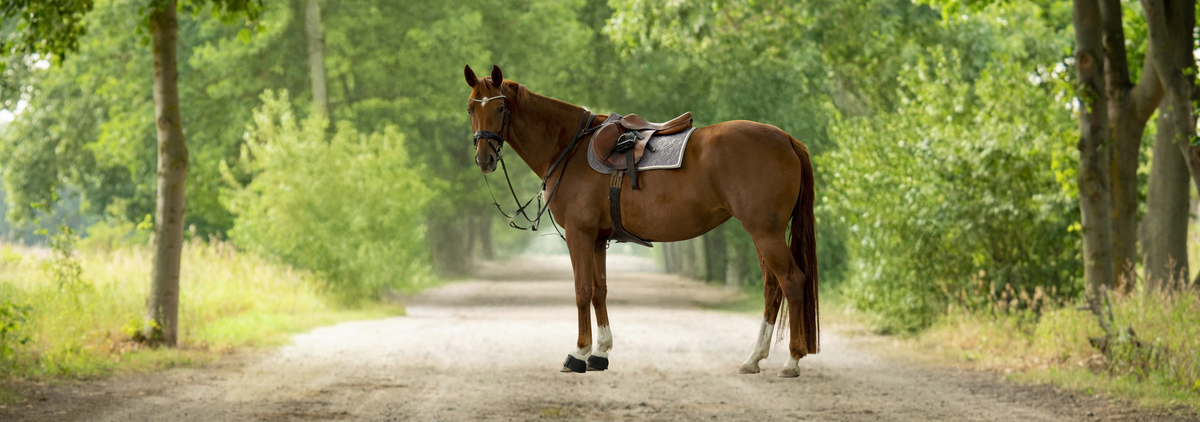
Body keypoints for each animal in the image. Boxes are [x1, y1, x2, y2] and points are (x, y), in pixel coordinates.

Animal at [464, 65, 819, 377]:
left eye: (500, 108)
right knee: (772, 288)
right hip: (762, 233)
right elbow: (599, 290)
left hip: (766, 233)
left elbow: (581, 290)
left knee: (792, 281)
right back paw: (754, 359)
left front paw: (578, 353)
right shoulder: (598, 239)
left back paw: (792, 361)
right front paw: (600, 353)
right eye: (470, 109)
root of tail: (787, 139)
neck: (570, 149)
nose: (484, 158)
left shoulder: (580, 235)